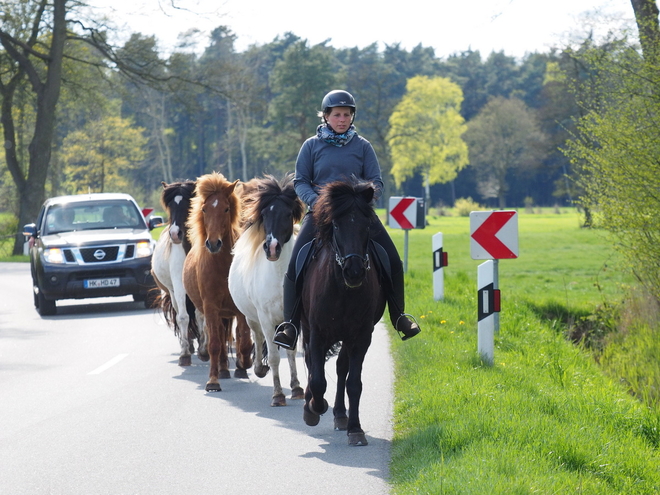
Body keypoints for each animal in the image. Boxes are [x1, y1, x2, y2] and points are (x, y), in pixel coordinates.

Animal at [183, 172, 253, 394]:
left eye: (226, 208)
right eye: (205, 209)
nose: (213, 244)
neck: (222, 265)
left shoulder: (239, 310)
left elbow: (244, 340)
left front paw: (245, 363)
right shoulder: (211, 307)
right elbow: (214, 343)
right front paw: (213, 381)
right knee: (221, 339)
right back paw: (222, 369)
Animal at [228, 174, 306, 406]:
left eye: (288, 214)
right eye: (264, 214)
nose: (271, 248)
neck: (280, 278)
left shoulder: (293, 319)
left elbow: (290, 352)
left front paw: (297, 388)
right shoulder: (265, 318)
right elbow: (273, 357)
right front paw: (278, 395)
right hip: (252, 318)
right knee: (257, 336)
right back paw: (258, 369)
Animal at [300, 180, 386, 448]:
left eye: (366, 225)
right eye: (336, 225)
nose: (354, 271)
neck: (342, 290)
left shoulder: (360, 337)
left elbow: (354, 383)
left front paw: (355, 429)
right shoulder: (317, 334)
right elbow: (317, 379)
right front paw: (315, 407)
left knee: (340, 368)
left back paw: (340, 414)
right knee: (311, 363)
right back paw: (312, 406)